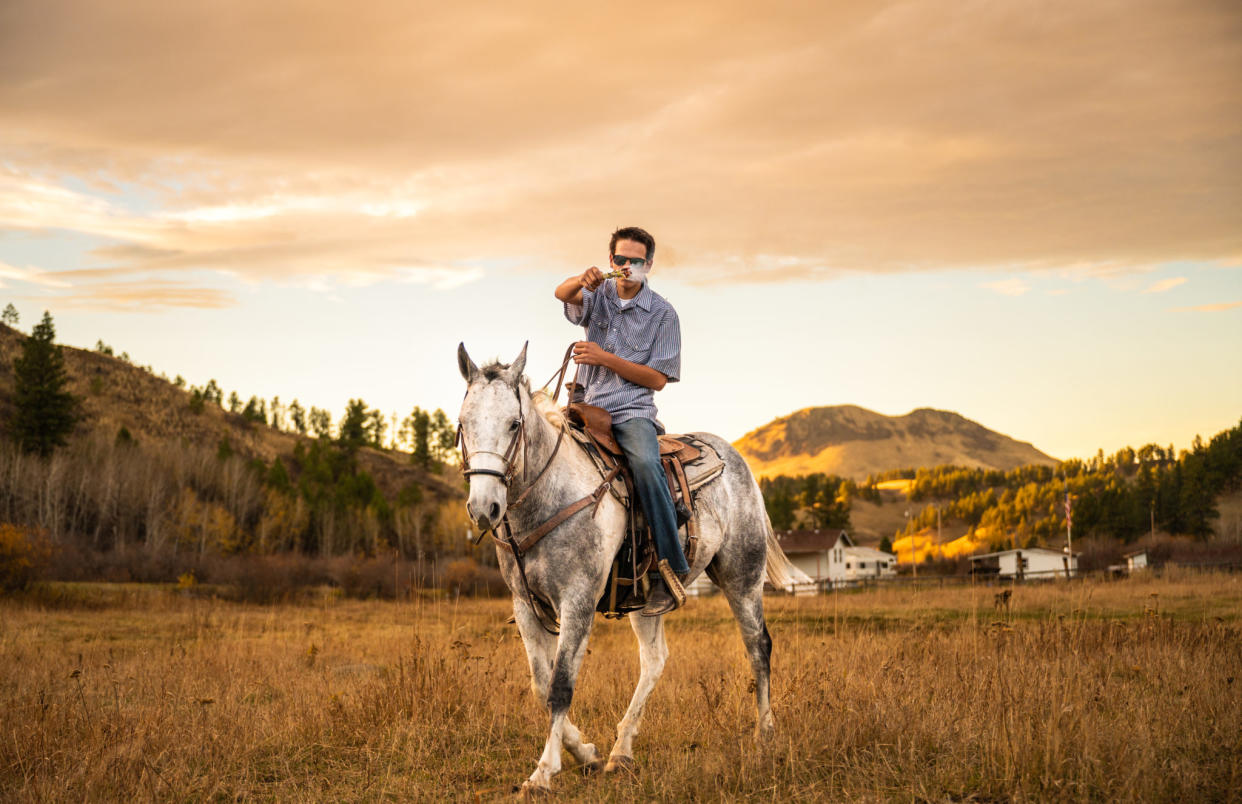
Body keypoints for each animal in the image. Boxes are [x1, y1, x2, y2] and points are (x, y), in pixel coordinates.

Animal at [457, 345, 794, 790]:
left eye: (514, 424)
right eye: (463, 424)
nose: (484, 508)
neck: (550, 495)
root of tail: (735, 456)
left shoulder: (578, 600)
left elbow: (561, 686)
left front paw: (544, 771)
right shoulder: (525, 606)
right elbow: (540, 684)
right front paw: (587, 753)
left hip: (743, 577)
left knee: (758, 647)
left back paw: (765, 738)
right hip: (647, 599)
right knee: (654, 660)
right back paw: (621, 752)